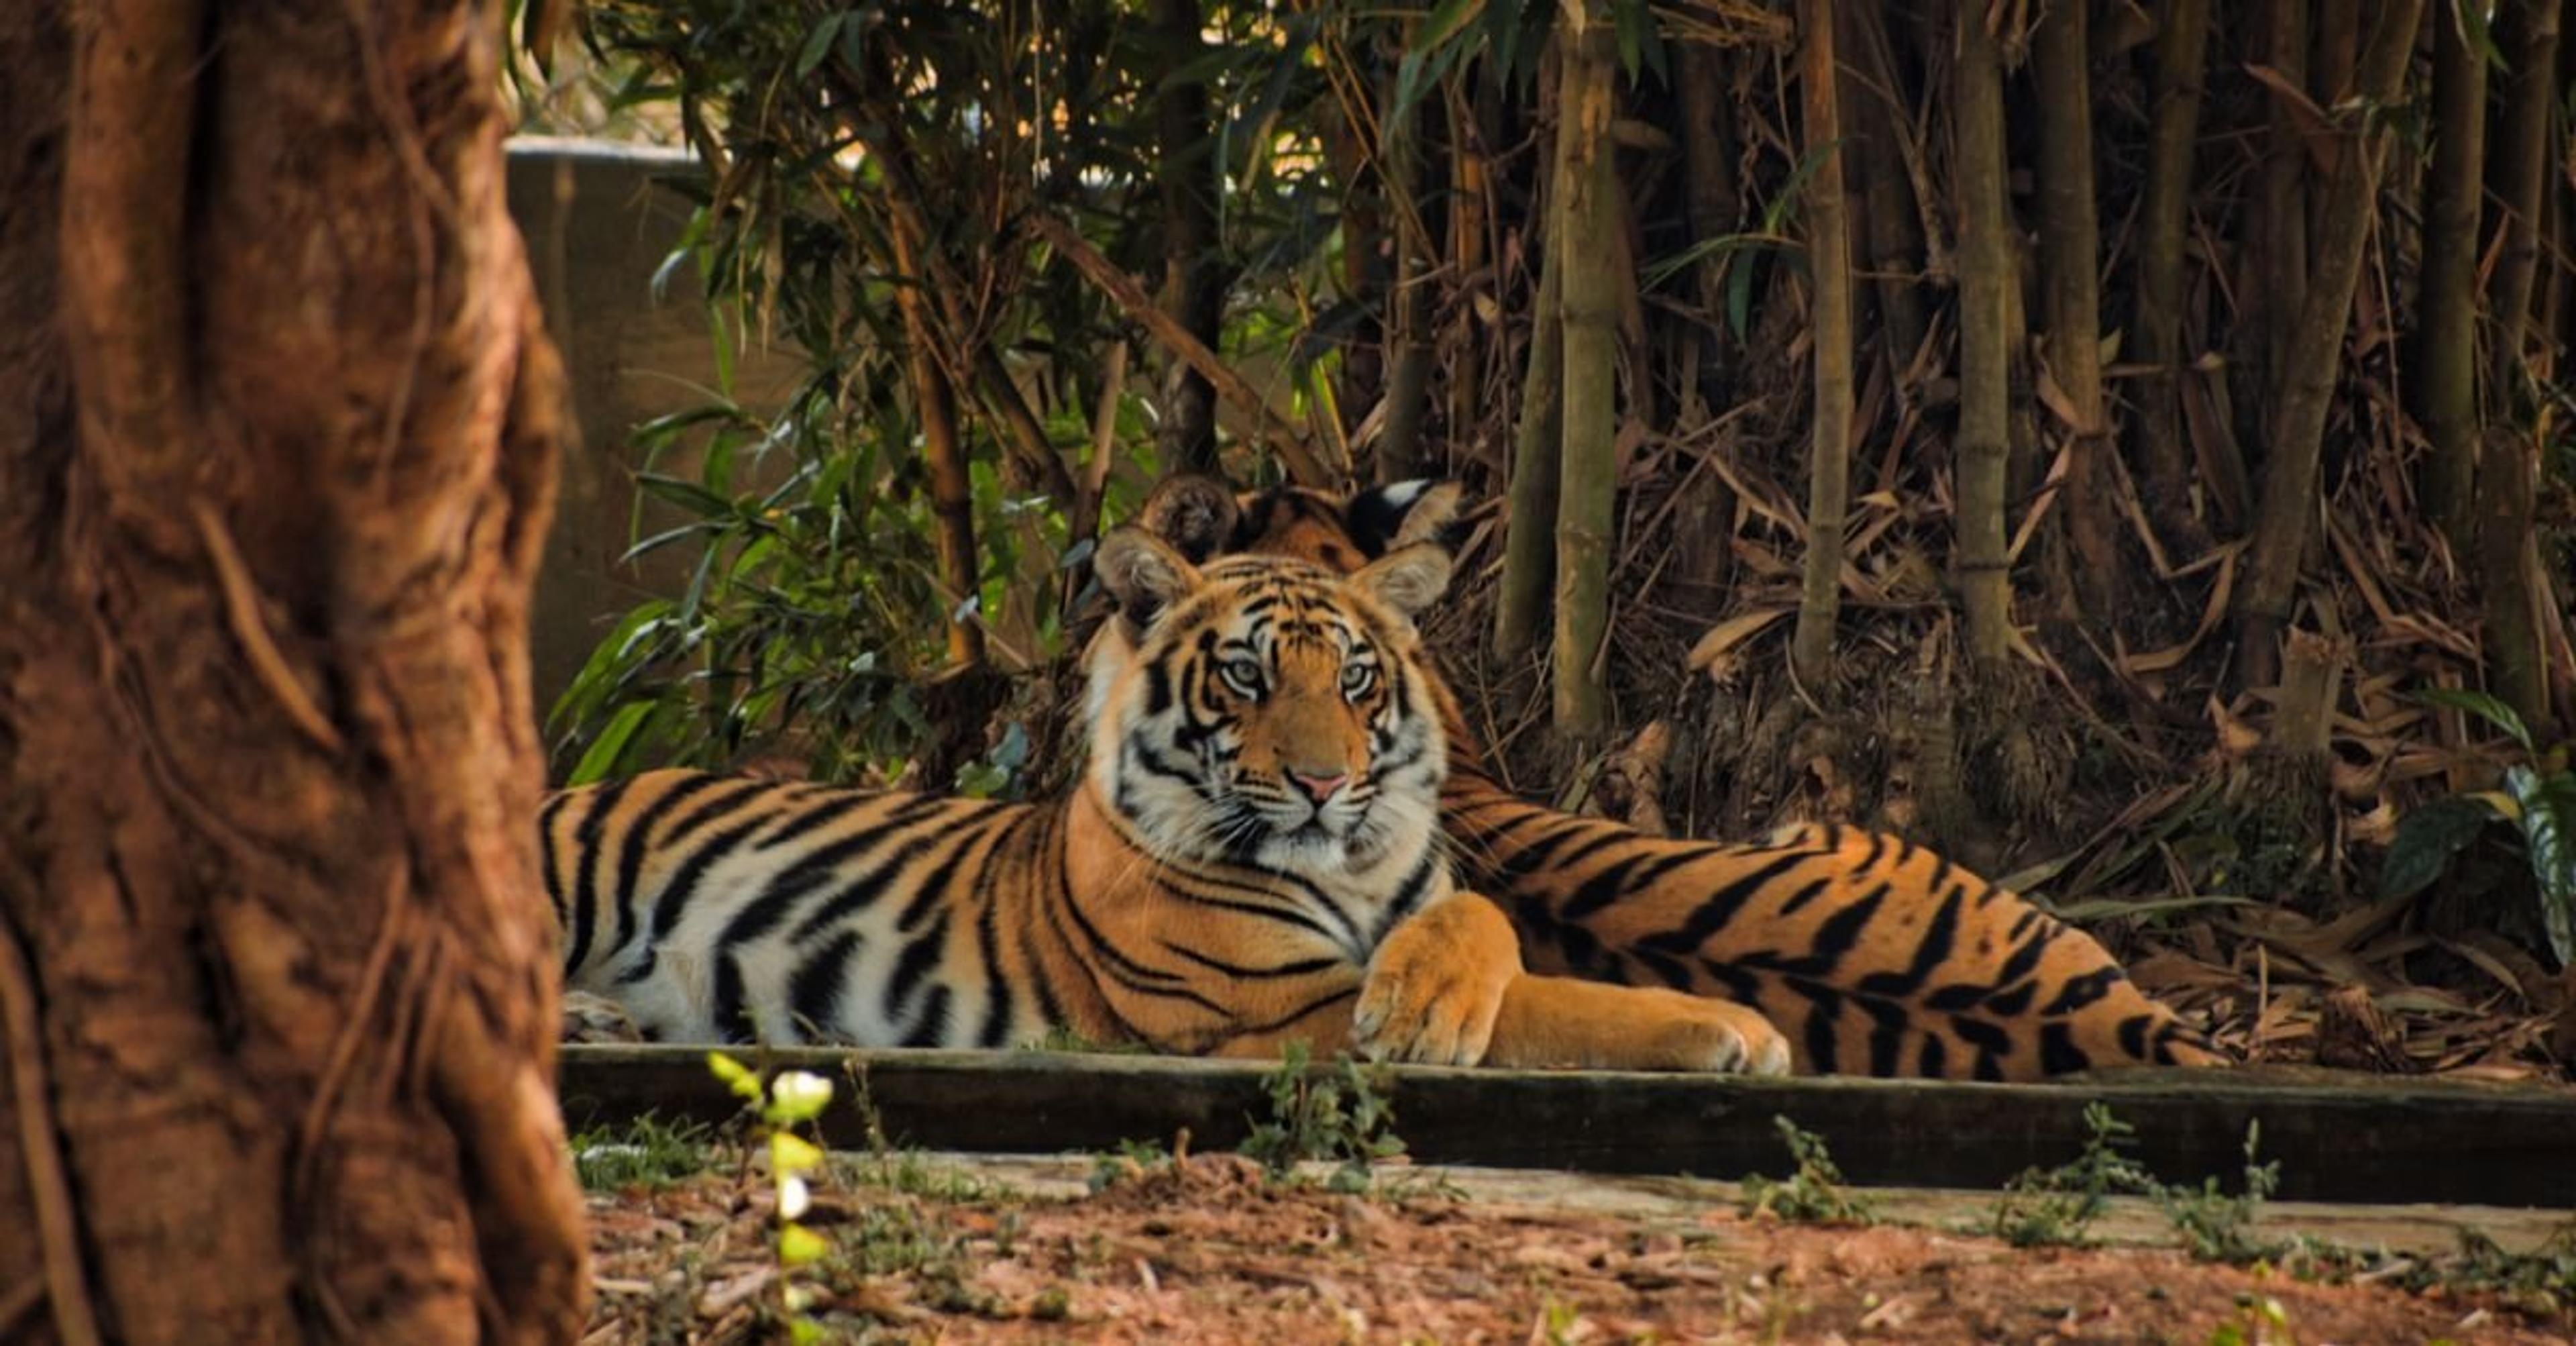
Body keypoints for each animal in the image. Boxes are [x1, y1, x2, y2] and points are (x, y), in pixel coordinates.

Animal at [544, 523, 1793, 1074]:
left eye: (1354, 677)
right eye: (1245, 675)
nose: (1324, 782)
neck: (1354, 869)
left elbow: (1491, 929)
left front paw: (1431, 998)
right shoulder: (1278, 1009)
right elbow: (1557, 1006)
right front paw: (1734, 1028)